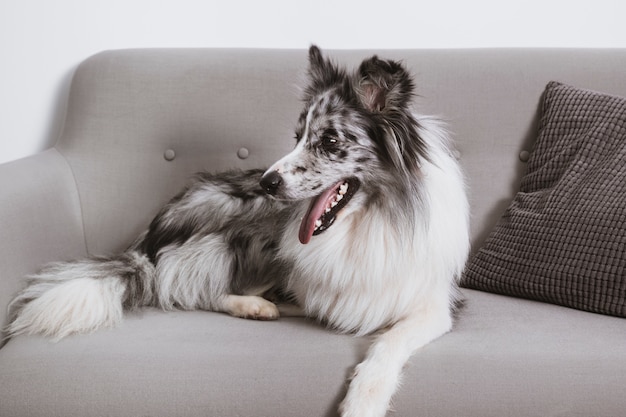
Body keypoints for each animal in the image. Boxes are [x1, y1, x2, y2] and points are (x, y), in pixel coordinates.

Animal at [6, 46, 468, 416]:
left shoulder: (433, 306)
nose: (268, 181)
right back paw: (255, 305)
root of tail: (148, 239)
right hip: (251, 230)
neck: (369, 222)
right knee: (189, 287)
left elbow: (388, 342)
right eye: (296, 136)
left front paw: (363, 401)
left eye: (330, 141)